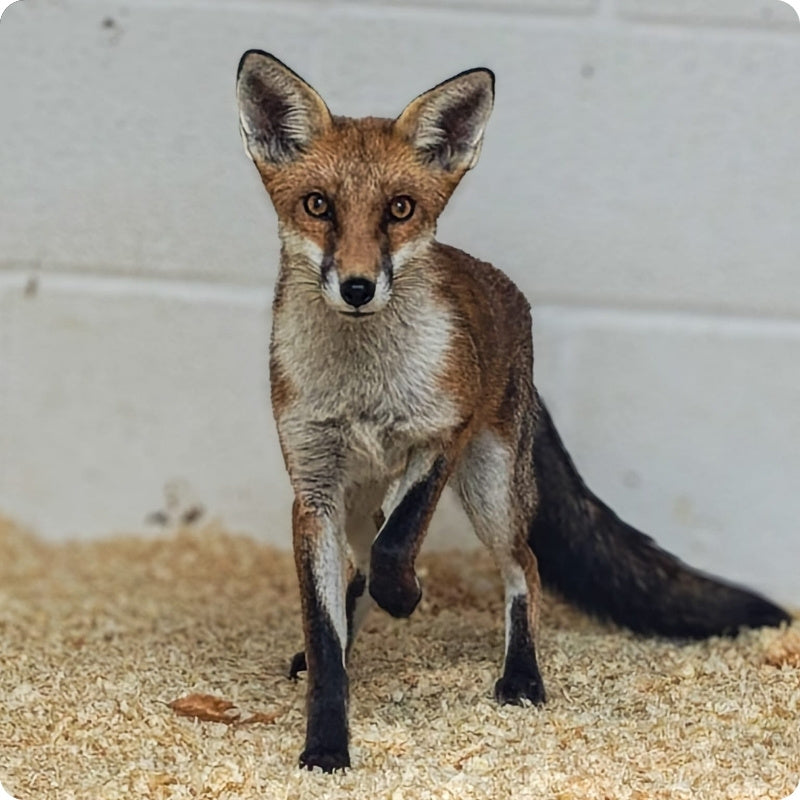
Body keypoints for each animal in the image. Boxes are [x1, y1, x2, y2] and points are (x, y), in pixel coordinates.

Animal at [234, 50, 791, 773]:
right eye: (318, 205)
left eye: (400, 209)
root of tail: (497, 286)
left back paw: (521, 677)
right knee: (361, 562)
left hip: (491, 487)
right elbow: (329, 630)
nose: (358, 287)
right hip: (362, 496)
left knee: (521, 563)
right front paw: (327, 742)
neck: (365, 388)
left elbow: (398, 546)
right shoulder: (314, 490)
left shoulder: (441, 436)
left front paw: (406, 597)